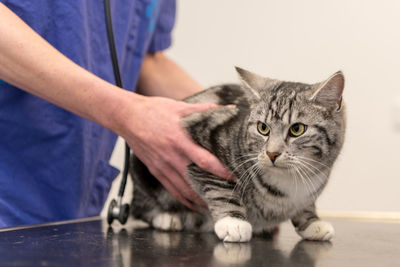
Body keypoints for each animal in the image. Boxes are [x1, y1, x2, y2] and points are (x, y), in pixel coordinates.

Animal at [130, 68, 346, 244]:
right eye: (263, 128)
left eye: (297, 129)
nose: (272, 153)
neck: (289, 180)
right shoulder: (204, 151)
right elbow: (221, 188)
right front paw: (232, 221)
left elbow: (307, 204)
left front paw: (312, 222)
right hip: (142, 171)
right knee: (139, 206)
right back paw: (167, 217)